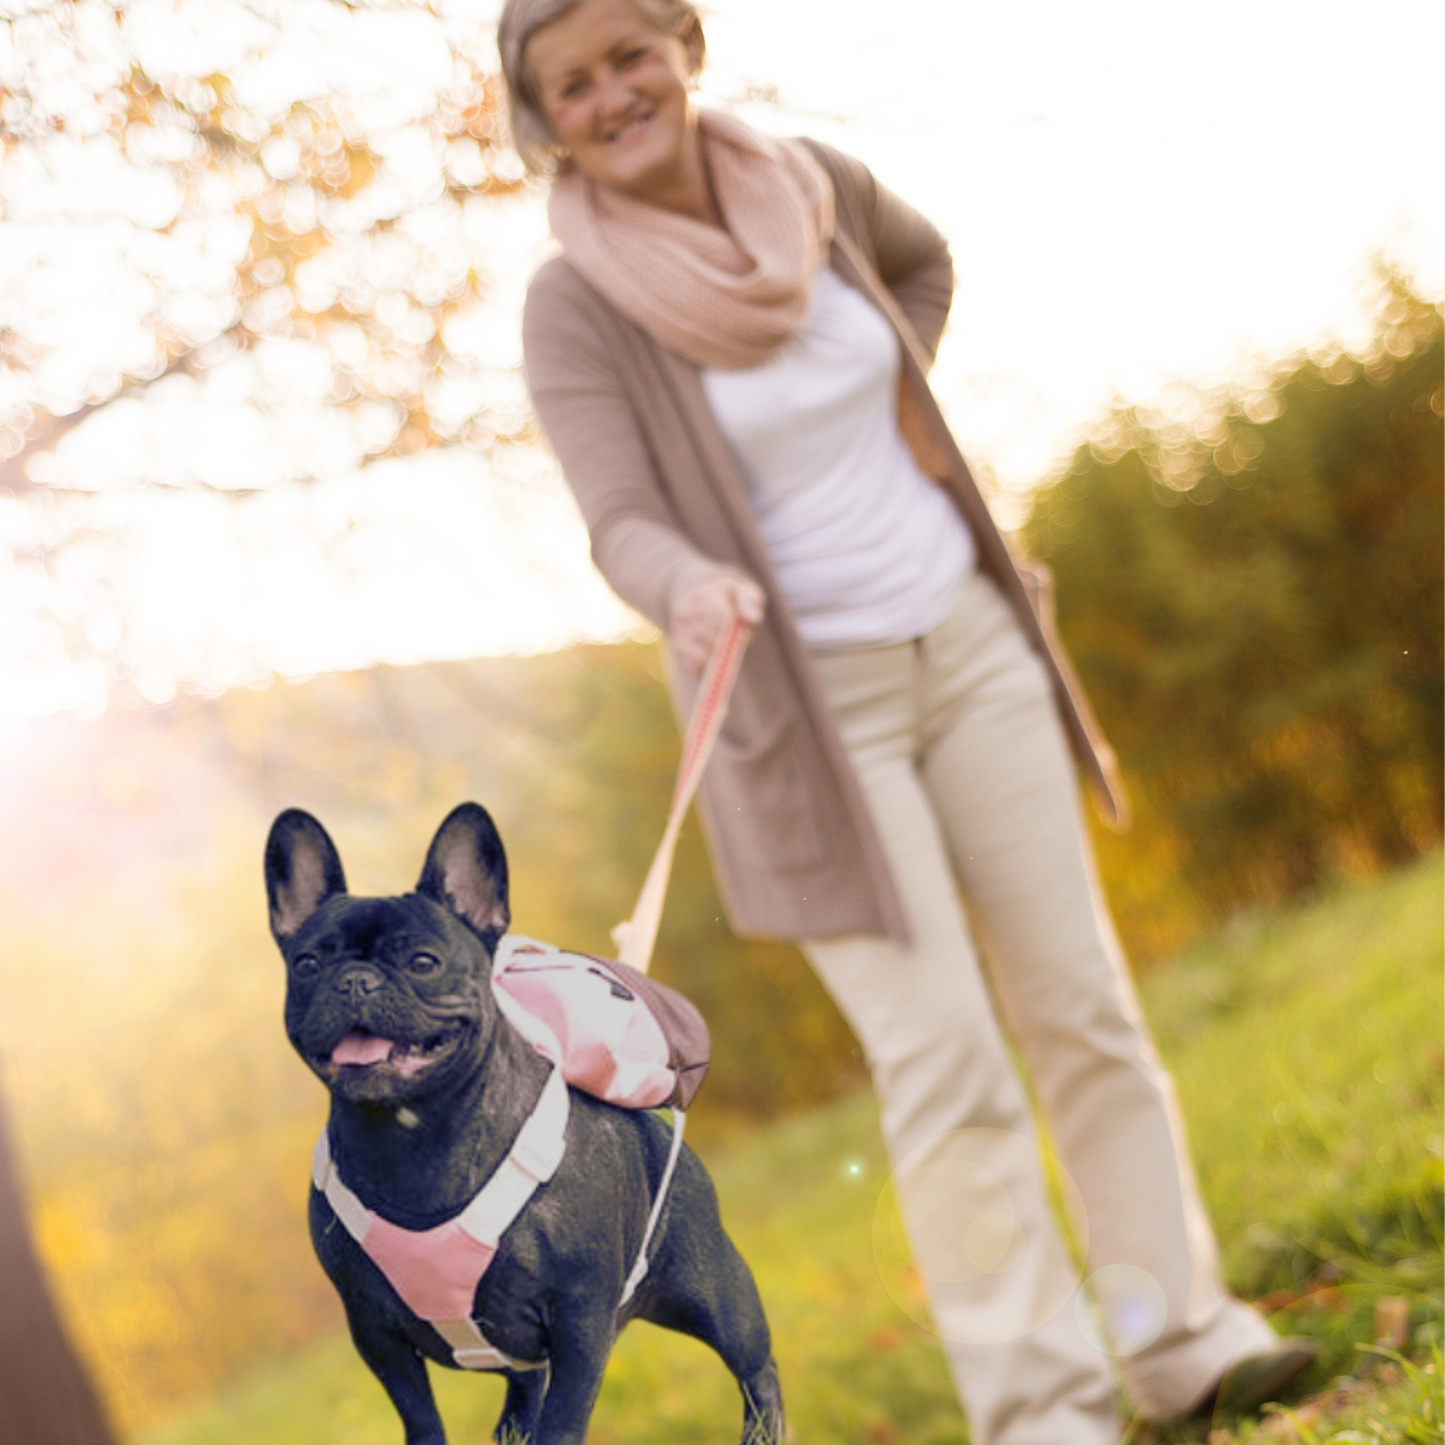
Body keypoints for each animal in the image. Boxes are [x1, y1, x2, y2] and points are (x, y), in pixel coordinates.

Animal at [265, 803, 786, 1445]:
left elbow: (563, 1421)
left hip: (712, 1288)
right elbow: (421, 1418)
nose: (355, 980)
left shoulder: (580, 1319)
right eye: (308, 964)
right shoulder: (376, 1334)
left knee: (754, 1362)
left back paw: (763, 1431)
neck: (413, 1137)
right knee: (525, 1388)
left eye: (422, 962)